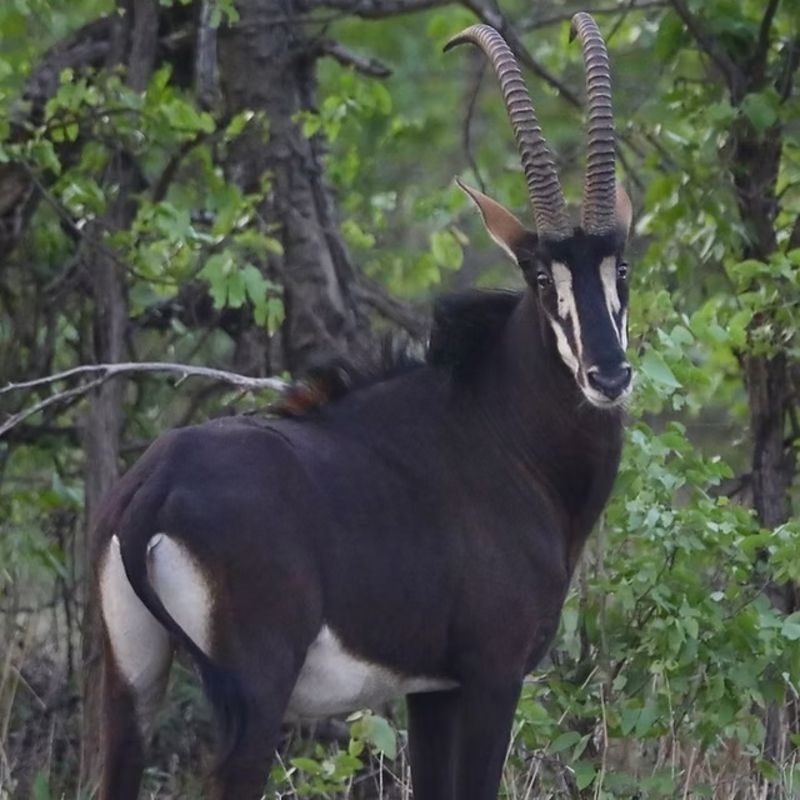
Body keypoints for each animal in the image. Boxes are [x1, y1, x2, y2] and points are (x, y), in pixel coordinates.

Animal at [95, 13, 633, 800]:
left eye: (622, 265)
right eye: (541, 275)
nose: (609, 374)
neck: (503, 432)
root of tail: (152, 489)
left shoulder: (430, 689)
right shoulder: (492, 673)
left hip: (130, 678)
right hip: (255, 694)